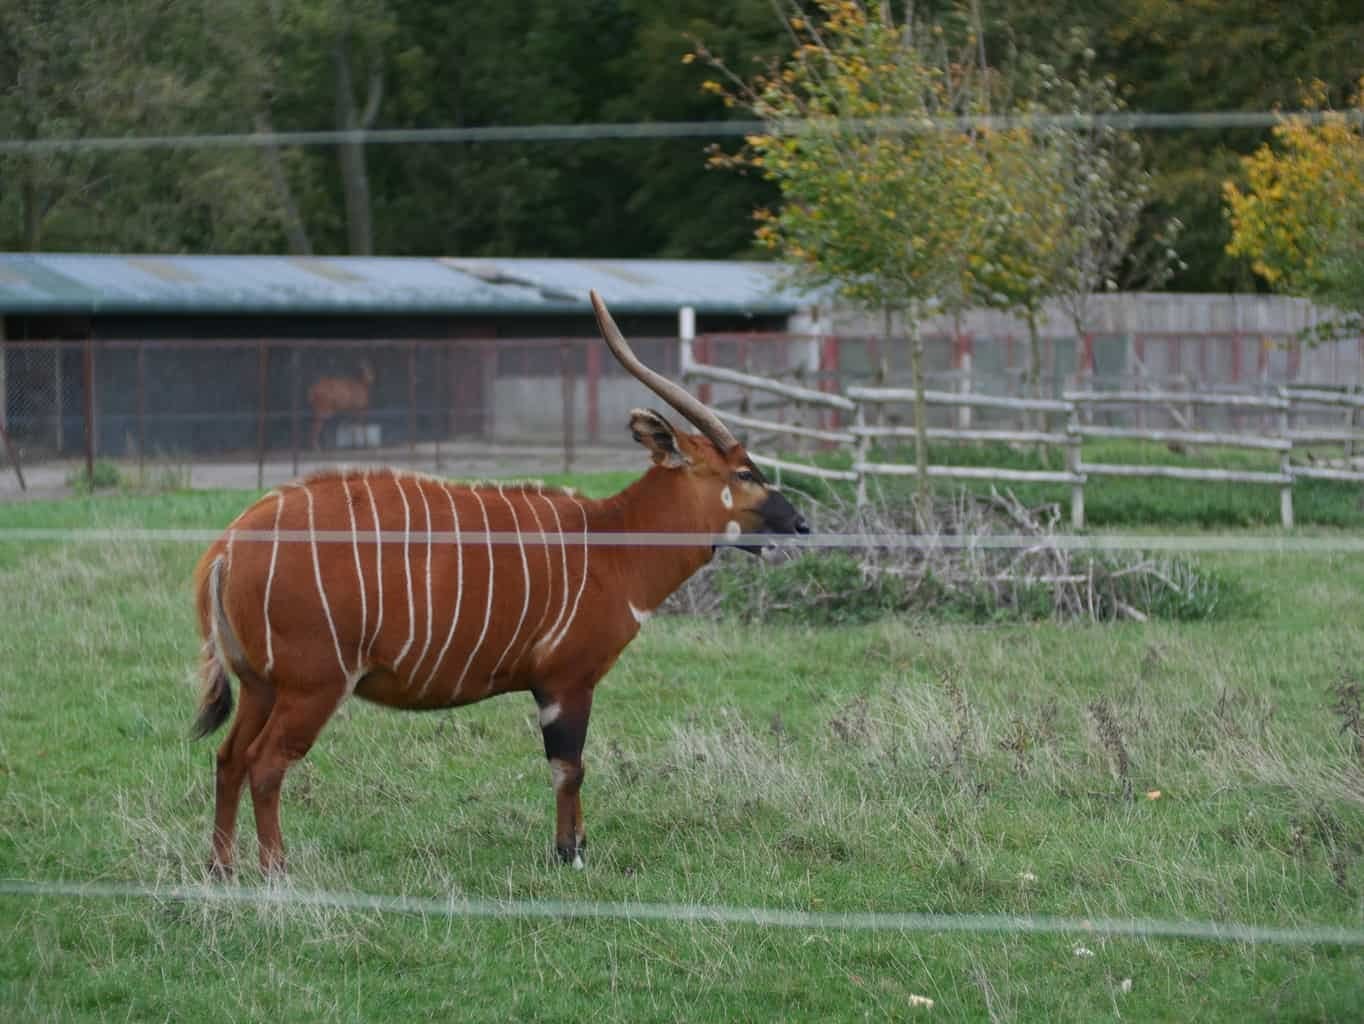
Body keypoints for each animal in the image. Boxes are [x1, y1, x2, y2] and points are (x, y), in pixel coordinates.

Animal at [192, 291, 809, 875]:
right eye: (744, 472)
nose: (801, 525)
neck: (610, 543)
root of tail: (228, 545)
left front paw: (576, 847)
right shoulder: (565, 683)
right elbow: (569, 768)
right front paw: (569, 855)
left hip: (262, 686)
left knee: (229, 758)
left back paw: (222, 868)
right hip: (312, 686)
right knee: (266, 764)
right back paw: (276, 871)